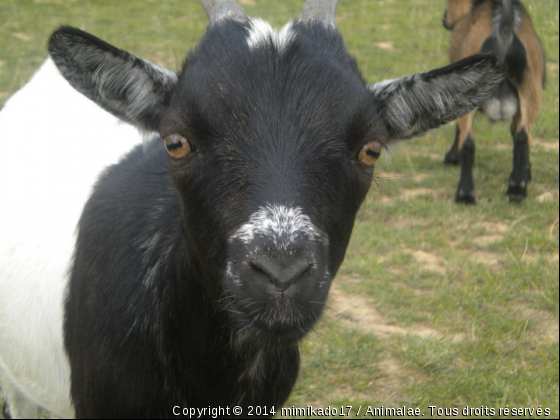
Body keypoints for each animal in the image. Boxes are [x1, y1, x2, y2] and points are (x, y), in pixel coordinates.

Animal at [442, 0, 544, 203]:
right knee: (522, 136)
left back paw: (465, 194)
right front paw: (526, 173)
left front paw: (451, 157)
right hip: (530, 88)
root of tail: (504, 28)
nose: (445, 19)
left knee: (468, 142)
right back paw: (516, 189)